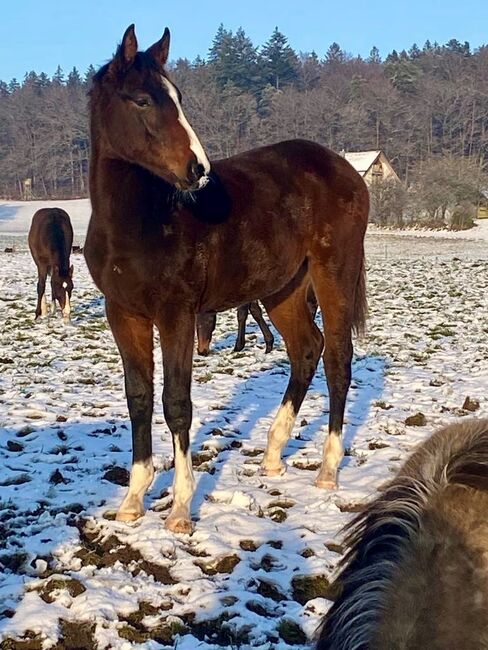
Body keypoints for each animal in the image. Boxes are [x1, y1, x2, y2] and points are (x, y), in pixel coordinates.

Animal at [84, 25, 368, 532]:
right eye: (142, 100)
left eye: (177, 97)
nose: (197, 170)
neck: (137, 223)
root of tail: (344, 170)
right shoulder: (124, 314)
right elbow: (138, 397)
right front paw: (133, 500)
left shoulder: (175, 313)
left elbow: (176, 402)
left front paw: (180, 509)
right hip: (283, 289)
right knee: (306, 349)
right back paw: (273, 455)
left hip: (334, 272)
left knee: (338, 357)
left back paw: (328, 470)